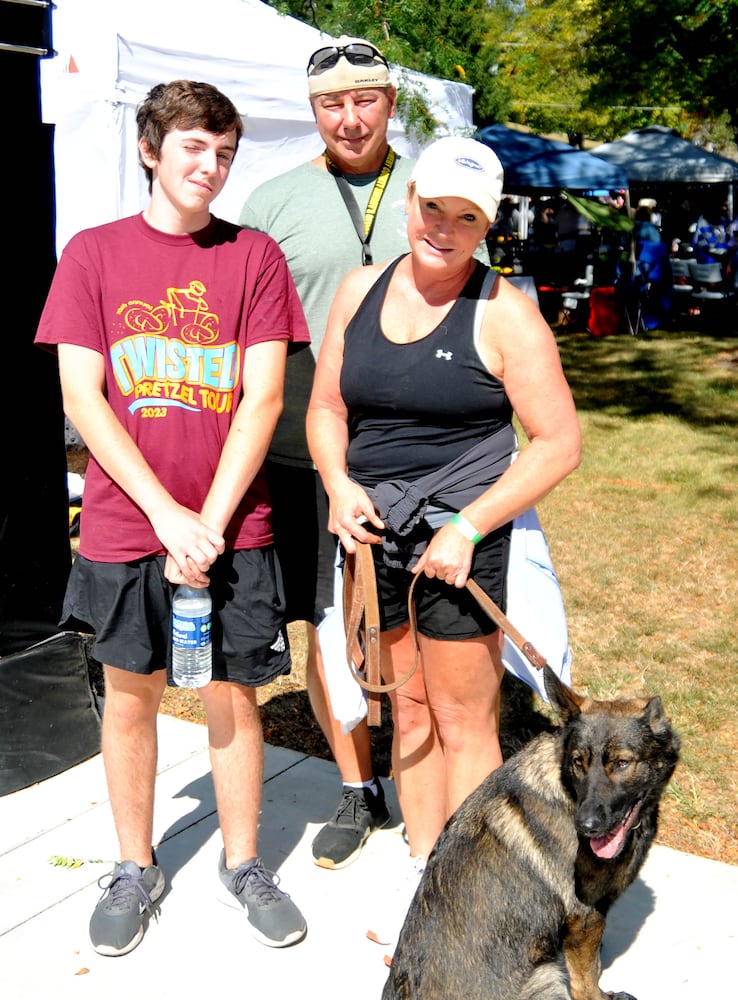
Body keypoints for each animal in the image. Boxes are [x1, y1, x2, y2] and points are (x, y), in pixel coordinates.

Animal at [382, 664, 676, 1000]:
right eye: (578, 762)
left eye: (622, 763)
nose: (585, 826)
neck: (567, 787)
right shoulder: (584, 918)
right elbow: (587, 980)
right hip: (546, 976)